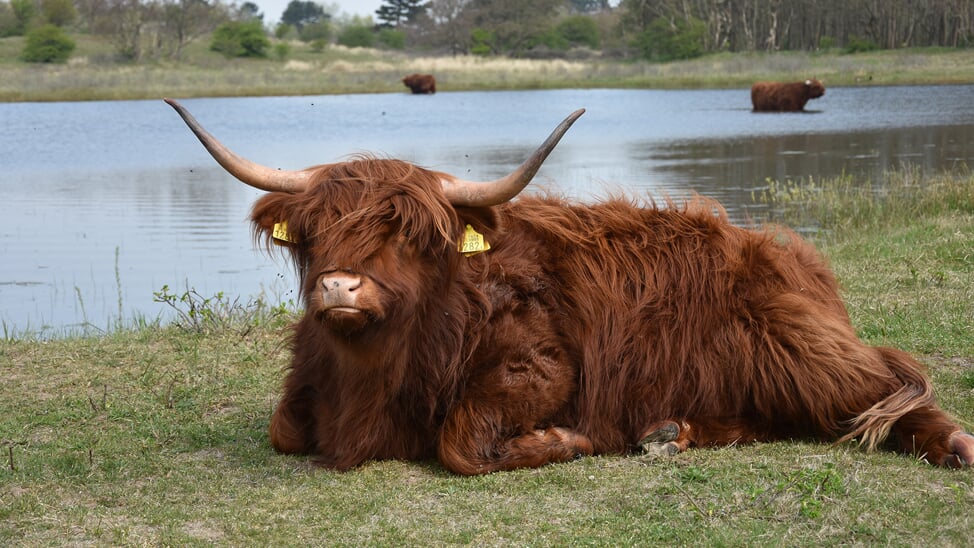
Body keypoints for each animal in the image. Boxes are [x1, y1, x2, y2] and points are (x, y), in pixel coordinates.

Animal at [164, 99, 972, 476]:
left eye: (410, 233)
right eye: (313, 232)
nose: (339, 286)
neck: (370, 379)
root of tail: (788, 252)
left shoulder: (541, 368)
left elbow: (462, 442)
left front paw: (566, 440)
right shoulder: (301, 395)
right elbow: (284, 428)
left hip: (800, 346)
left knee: (885, 386)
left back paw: (955, 443)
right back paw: (671, 433)